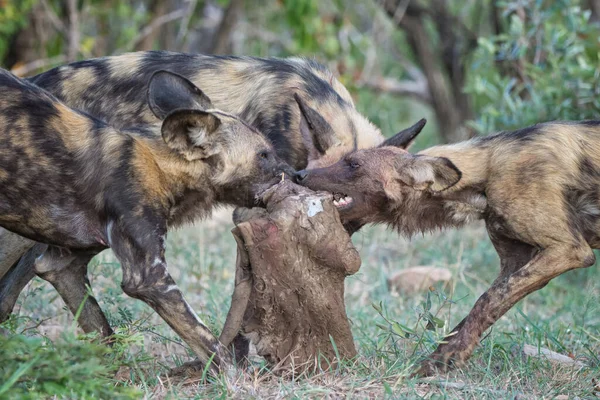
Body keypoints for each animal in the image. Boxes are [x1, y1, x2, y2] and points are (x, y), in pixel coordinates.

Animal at [0, 67, 292, 370]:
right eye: (263, 155)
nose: (296, 174)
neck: (163, 167)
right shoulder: (150, 278)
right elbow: (212, 347)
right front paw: (234, 378)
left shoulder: (62, 266)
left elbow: (104, 334)